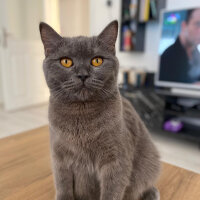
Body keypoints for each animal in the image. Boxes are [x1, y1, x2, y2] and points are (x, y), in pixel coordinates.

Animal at [39, 19, 161, 200]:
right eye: (66, 61)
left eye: (97, 61)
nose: (83, 75)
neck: (81, 115)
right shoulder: (59, 157)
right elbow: (63, 186)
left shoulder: (116, 161)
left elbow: (112, 192)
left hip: (151, 162)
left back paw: (151, 194)